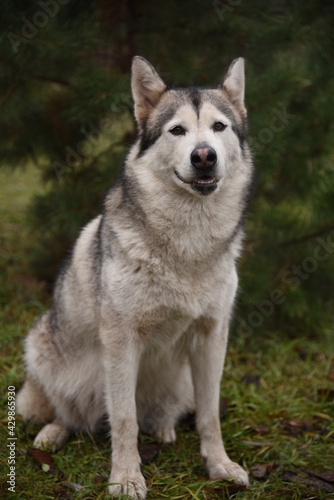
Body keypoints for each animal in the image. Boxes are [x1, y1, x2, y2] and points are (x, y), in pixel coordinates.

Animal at [17, 56, 253, 498]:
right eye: (177, 130)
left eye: (219, 127)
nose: (204, 156)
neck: (187, 245)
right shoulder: (122, 341)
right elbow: (124, 420)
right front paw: (126, 478)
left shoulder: (212, 337)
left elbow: (209, 415)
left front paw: (219, 466)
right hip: (40, 352)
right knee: (68, 415)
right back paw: (51, 436)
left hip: (181, 380)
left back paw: (163, 430)